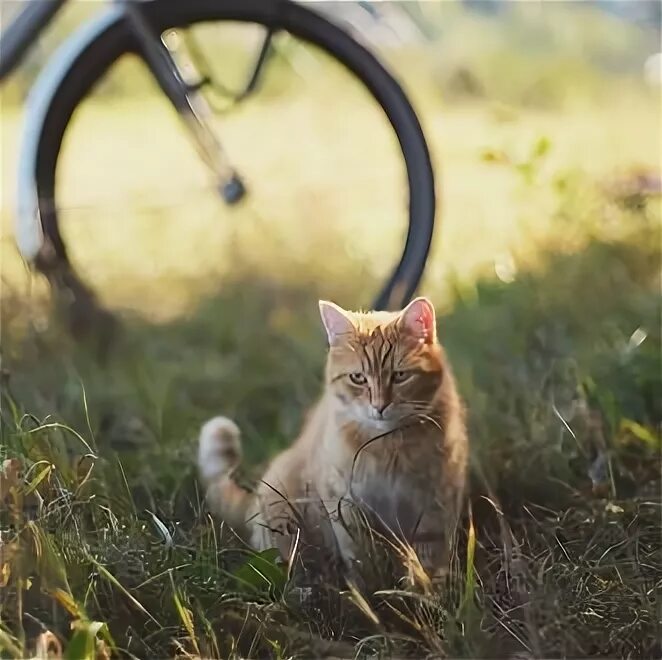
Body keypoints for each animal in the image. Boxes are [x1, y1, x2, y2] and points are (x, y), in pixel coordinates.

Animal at [200, 296, 470, 580]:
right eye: (358, 378)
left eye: (400, 376)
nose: (379, 406)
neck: (388, 444)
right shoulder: (345, 503)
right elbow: (362, 557)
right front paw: (371, 587)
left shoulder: (436, 505)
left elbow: (430, 560)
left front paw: (426, 589)